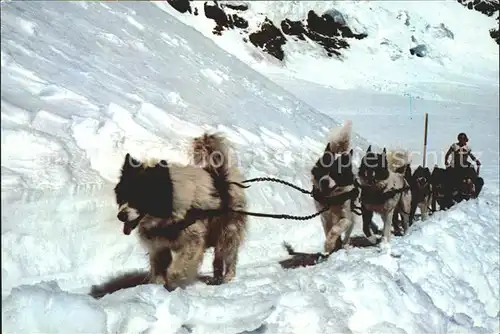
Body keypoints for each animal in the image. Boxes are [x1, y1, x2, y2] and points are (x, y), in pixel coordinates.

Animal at [91, 132, 247, 296]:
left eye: (140, 197)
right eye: (122, 195)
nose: (121, 216)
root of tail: (221, 173)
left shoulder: (192, 242)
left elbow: (176, 269)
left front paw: (171, 285)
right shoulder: (159, 246)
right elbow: (159, 270)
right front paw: (157, 288)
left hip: (228, 232)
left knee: (229, 255)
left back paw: (228, 277)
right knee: (218, 258)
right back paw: (216, 278)